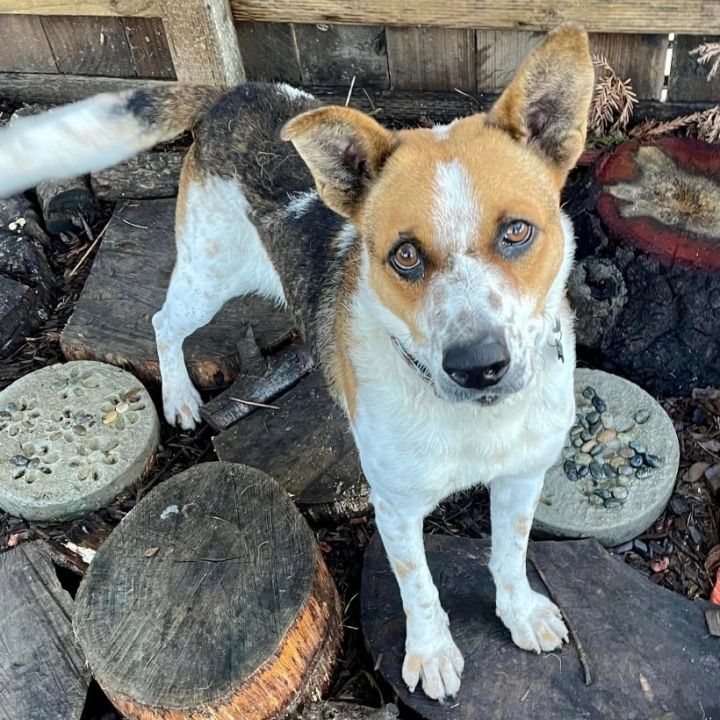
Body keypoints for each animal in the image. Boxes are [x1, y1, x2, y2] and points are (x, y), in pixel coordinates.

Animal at [0, 25, 592, 700]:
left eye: (517, 231)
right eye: (405, 255)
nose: (478, 366)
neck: (475, 419)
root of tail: (228, 95)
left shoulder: (522, 476)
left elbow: (510, 556)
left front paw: (519, 613)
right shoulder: (396, 508)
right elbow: (418, 588)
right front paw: (432, 653)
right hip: (208, 274)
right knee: (162, 323)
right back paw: (179, 398)